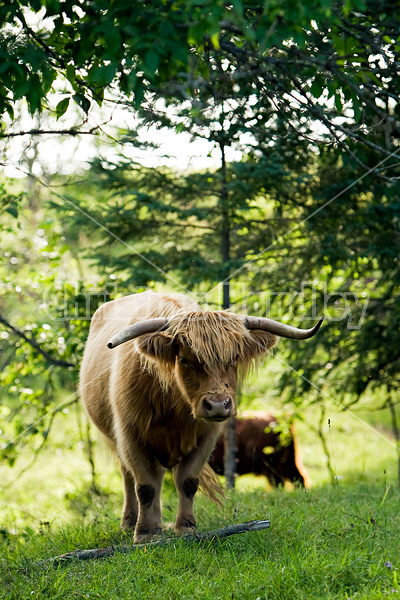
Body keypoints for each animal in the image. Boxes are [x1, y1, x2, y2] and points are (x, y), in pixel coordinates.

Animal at [79, 290, 322, 544]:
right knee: (130, 477)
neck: (174, 402)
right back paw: (130, 523)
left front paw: (185, 528)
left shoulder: (206, 437)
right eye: (185, 359)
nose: (217, 405)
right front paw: (145, 533)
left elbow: (187, 481)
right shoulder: (131, 435)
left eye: (235, 357)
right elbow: (145, 486)